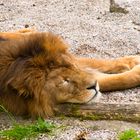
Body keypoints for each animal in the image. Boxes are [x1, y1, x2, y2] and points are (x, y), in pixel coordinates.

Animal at [0, 29, 140, 118]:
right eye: (64, 81)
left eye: (72, 67)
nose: (94, 86)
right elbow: (110, 80)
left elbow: (95, 62)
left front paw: (133, 61)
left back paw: (28, 31)